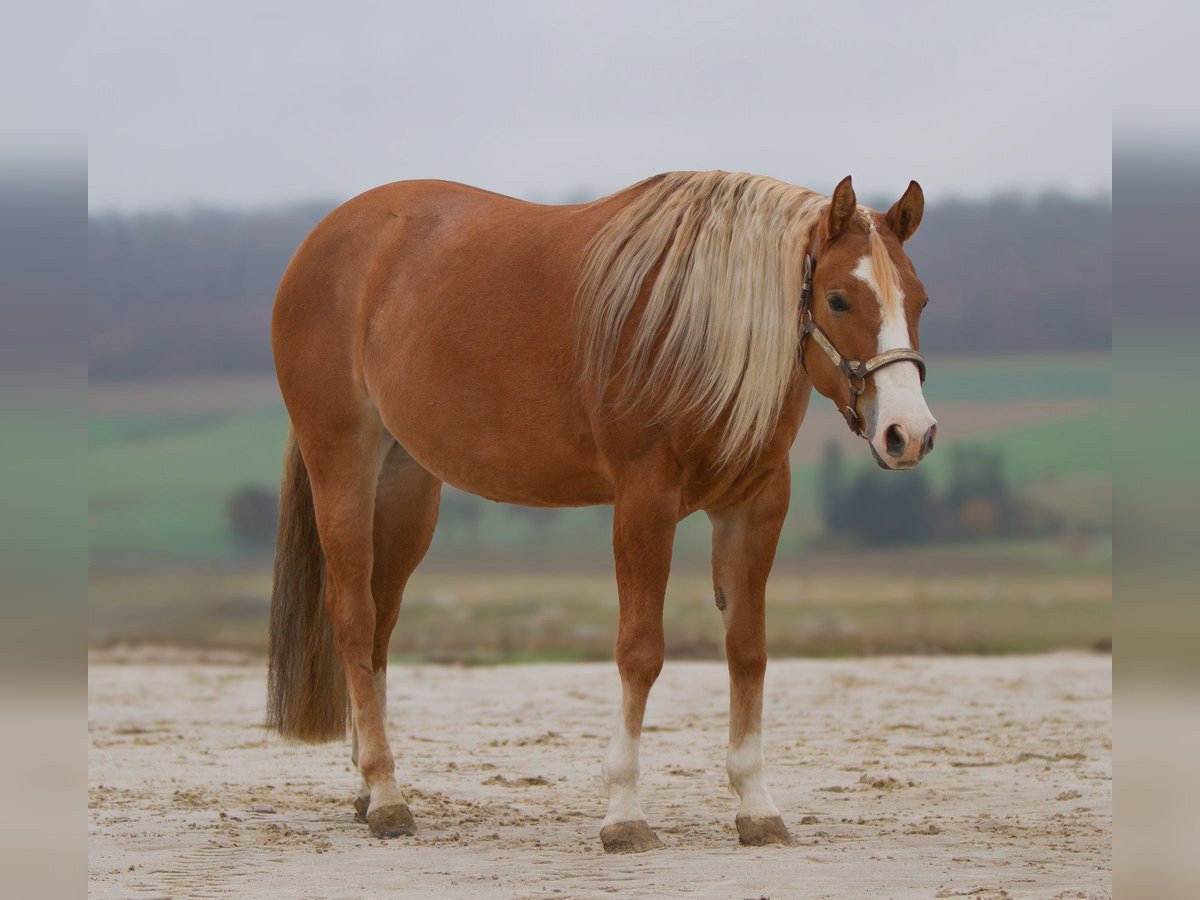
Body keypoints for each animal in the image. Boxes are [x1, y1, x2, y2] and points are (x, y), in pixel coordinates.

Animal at [267, 170, 937, 852]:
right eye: (838, 300)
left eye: (919, 300)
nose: (909, 433)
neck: (698, 326)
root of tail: (322, 239)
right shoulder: (645, 501)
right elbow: (639, 652)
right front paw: (624, 813)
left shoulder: (755, 506)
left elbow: (748, 652)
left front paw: (757, 806)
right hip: (342, 464)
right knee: (352, 618)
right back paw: (386, 797)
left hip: (405, 486)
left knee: (380, 623)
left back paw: (368, 786)